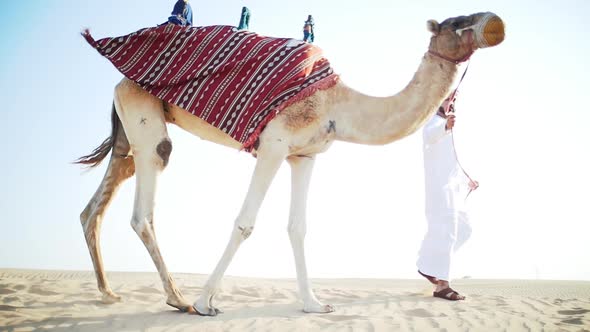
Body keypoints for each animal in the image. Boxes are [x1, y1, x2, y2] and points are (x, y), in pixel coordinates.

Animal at [76, 11, 506, 316]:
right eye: (457, 24)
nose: (494, 22)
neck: (338, 105)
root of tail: (118, 80)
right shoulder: (273, 144)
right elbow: (245, 223)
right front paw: (205, 302)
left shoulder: (304, 156)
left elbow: (298, 227)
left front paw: (313, 303)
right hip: (144, 114)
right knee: (145, 199)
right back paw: (179, 298)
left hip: (127, 129)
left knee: (99, 198)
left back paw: (109, 293)